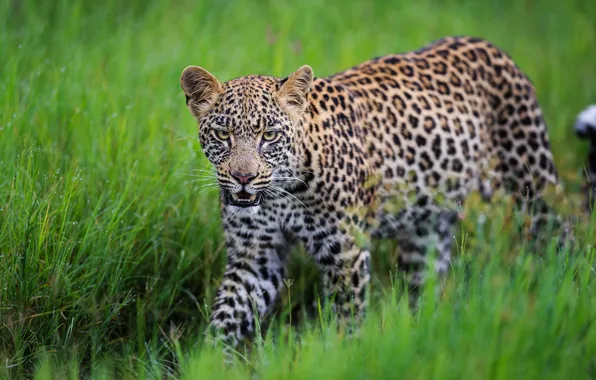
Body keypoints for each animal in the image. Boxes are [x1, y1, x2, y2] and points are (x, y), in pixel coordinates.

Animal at [179, 35, 572, 356]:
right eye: (223, 134)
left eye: (270, 135)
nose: (243, 178)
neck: (283, 193)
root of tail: (490, 46)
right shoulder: (255, 255)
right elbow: (227, 315)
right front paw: (209, 363)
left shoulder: (345, 252)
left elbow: (347, 318)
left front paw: (343, 357)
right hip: (425, 230)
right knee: (426, 284)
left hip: (533, 181)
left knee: (558, 235)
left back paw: (562, 293)